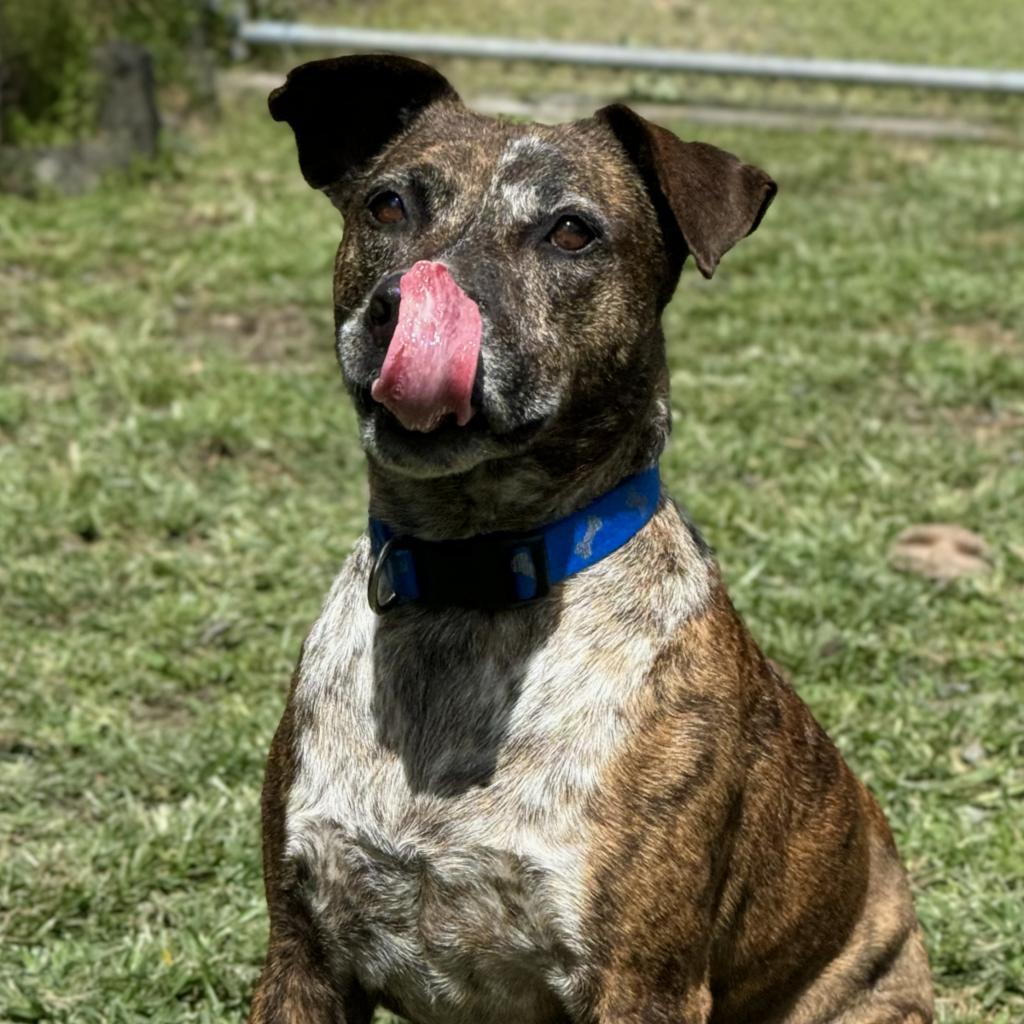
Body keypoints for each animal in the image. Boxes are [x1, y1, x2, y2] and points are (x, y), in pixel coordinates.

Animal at [249, 54, 937, 1024]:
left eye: (571, 232)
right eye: (387, 206)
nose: (398, 310)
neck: (472, 581)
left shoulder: (640, 983)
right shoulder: (302, 955)